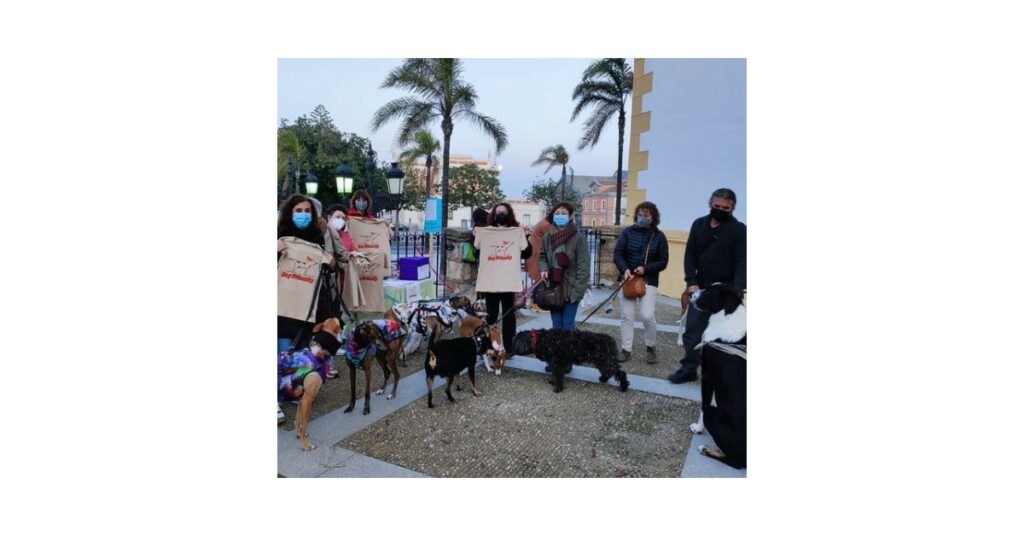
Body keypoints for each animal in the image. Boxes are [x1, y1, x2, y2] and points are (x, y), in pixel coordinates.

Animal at [684, 284, 749, 469]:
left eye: (708, 292)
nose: (690, 293)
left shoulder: (707, 377)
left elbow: (703, 405)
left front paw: (698, 428)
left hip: (712, 413)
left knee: (736, 462)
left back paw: (707, 450)